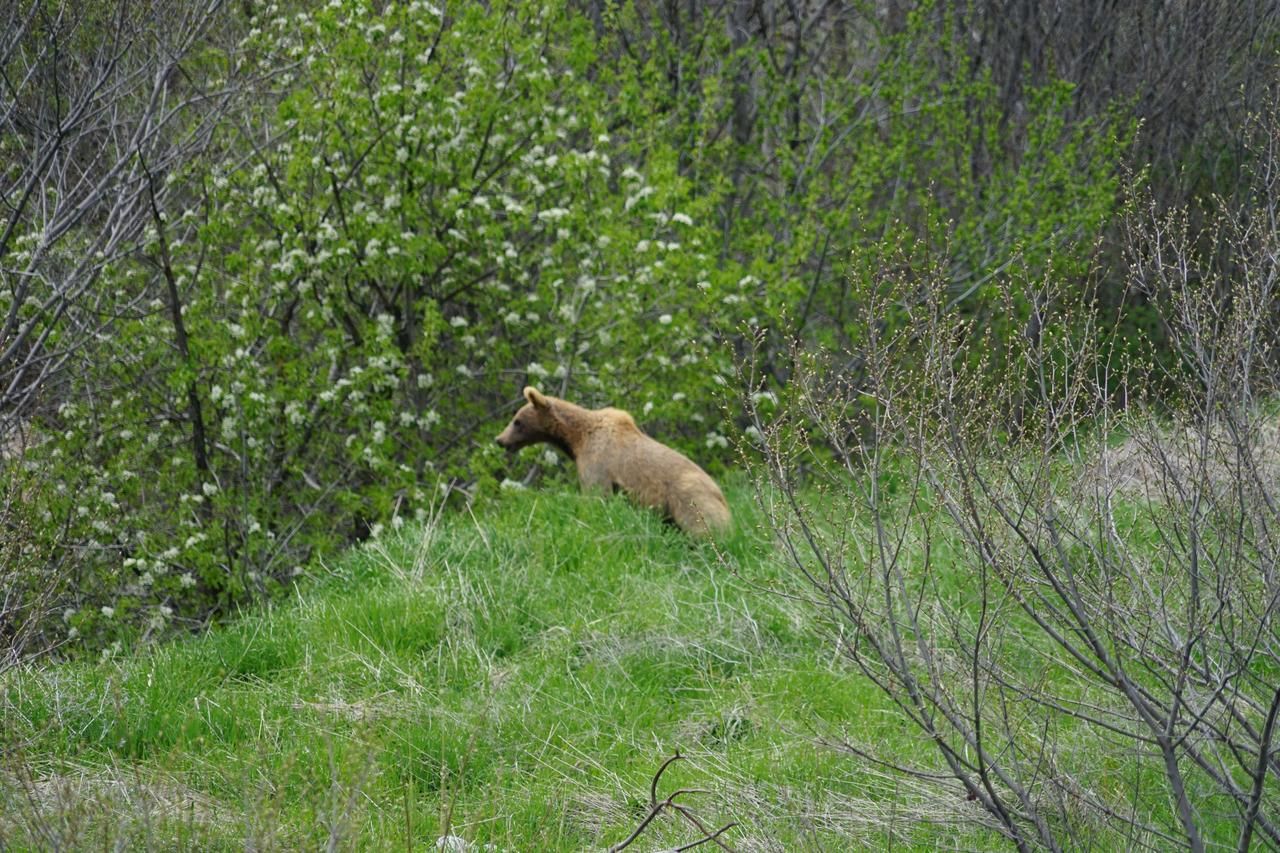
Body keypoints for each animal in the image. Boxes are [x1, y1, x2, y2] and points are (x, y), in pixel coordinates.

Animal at [494, 386, 732, 537]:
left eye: (516, 421)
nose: (500, 440)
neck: (576, 440)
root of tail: (722, 496)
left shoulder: (598, 463)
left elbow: (595, 496)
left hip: (690, 498)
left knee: (703, 527)